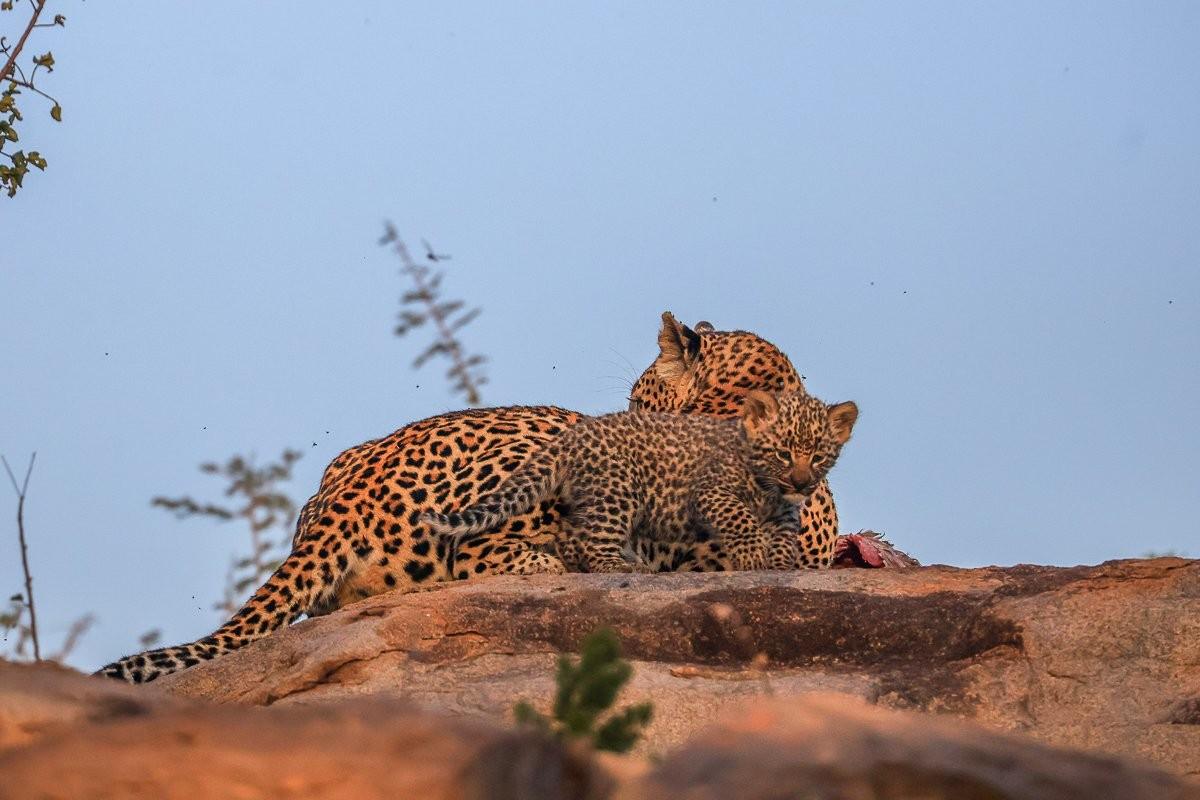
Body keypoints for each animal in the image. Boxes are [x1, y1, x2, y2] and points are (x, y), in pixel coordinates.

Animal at [424, 390, 858, 573]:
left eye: (819, 456)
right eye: (782, 452)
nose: (800, 483)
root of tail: (572, 437)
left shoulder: (783, 513)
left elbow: (782, 538)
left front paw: (779, 564)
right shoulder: (713, 493)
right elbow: (740, 521)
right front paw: (752, 557)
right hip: (617, 492)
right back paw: (616, 566)